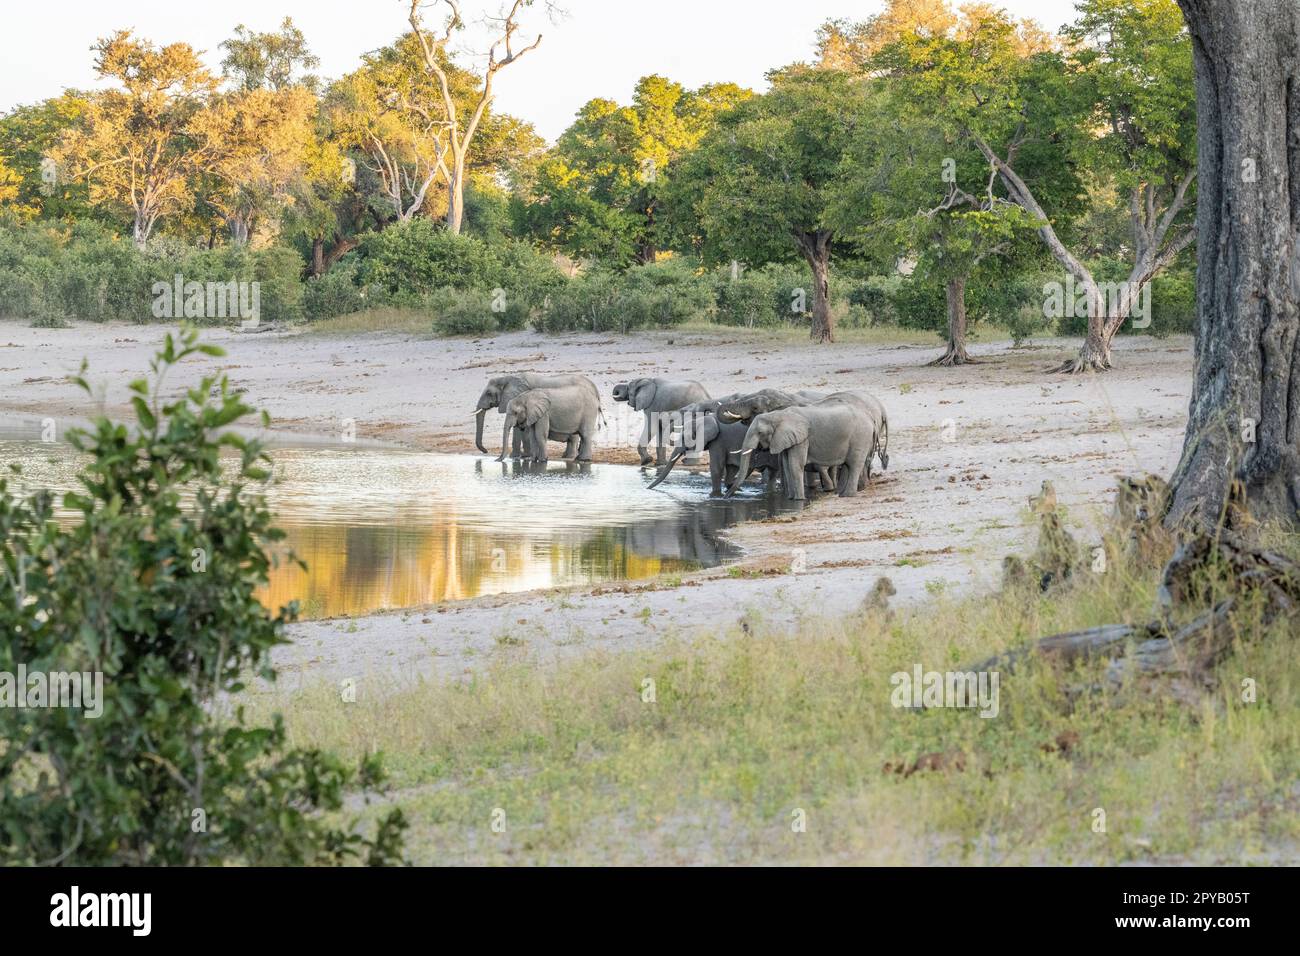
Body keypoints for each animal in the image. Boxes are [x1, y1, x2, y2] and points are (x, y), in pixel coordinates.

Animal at [728, 400, 878, 502]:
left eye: (760, 432)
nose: (726, 496)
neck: (778, 415)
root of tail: (871, 418)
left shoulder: (802, 439)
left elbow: (795, 465)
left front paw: (799, 500)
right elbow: (787, 465)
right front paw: (790, 498)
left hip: (860, 436)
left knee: (854, 464)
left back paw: (848, 495)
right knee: (848, 465)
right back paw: (841, 494)